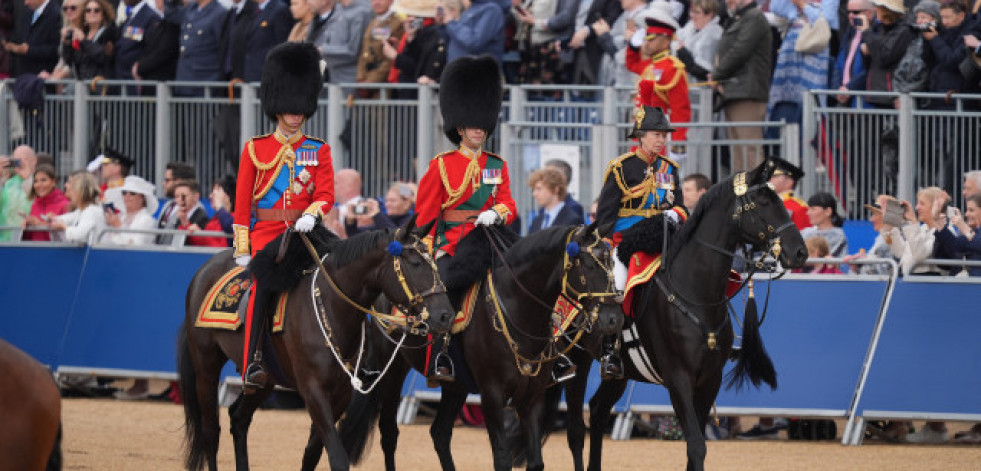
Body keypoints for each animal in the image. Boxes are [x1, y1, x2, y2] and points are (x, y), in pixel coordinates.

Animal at [179, 218, 456, 471]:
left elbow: (312, 453)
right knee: (211, 432)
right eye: (416, 263)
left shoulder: (341, 393)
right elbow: (336, 456)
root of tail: (205, 270)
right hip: (206, 367)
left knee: (239, 419)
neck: (333, 308)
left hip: (265, 379)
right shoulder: (313, 390)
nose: (446, 315)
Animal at [336, 226, 624, 471]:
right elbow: (502, 460)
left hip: (456, 384)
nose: (613, 319)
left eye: (612, 264)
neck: (517, 310)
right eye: (588, 265)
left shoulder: (532, 397)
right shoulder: (492, 395)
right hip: (393, 369)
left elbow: (536, 462)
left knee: (440, 433)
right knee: (389, 432)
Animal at [556, 159, 808, 471]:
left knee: (599, 409)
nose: (800, 252)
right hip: (576, 361)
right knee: (576, 430)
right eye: (762, 202)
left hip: (620, 372)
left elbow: (694, 447)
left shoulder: (710, 379)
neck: (697, 294)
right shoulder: (678, 379)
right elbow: (697, 446)